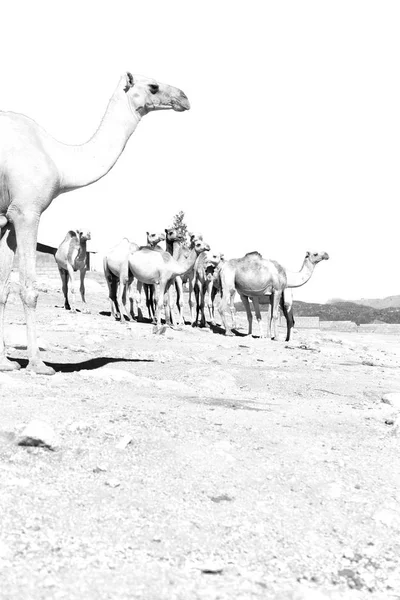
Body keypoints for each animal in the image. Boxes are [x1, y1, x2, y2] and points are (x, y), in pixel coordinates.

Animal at [0, 72, 190, 372]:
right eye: (153, 86)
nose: (185, 98)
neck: (58, 160)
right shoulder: (26, 211)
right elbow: (29, 289)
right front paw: (38, 364)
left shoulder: (8, 218)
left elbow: (3, 289)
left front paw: (6, 363)